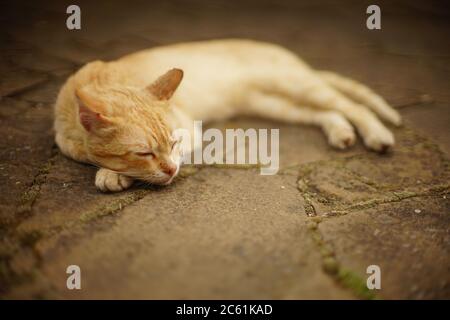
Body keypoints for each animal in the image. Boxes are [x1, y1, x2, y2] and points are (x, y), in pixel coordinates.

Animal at [54, 38, 402, 191]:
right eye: (143, 152)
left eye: (173, 143)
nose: (171, 172)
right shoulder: (63, 140)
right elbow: (82, 153)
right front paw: (112, 169)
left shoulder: (189, 128)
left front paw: (111, 174)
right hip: (274, 104)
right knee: (326, 113)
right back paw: (341, 133)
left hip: (295, 84)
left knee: (351, 105)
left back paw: (378, 135)